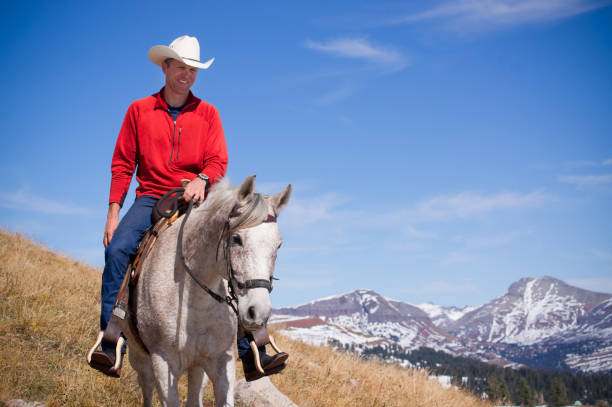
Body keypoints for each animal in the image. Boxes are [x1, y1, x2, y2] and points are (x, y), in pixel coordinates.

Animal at [124, 177, 292, 407]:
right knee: (147, 386)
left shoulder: (222, 362)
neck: (194, 300)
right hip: (139, 356)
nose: (257, 312)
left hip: (198, 368)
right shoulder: (163, 363)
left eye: (279, 245)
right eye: (236, 238)